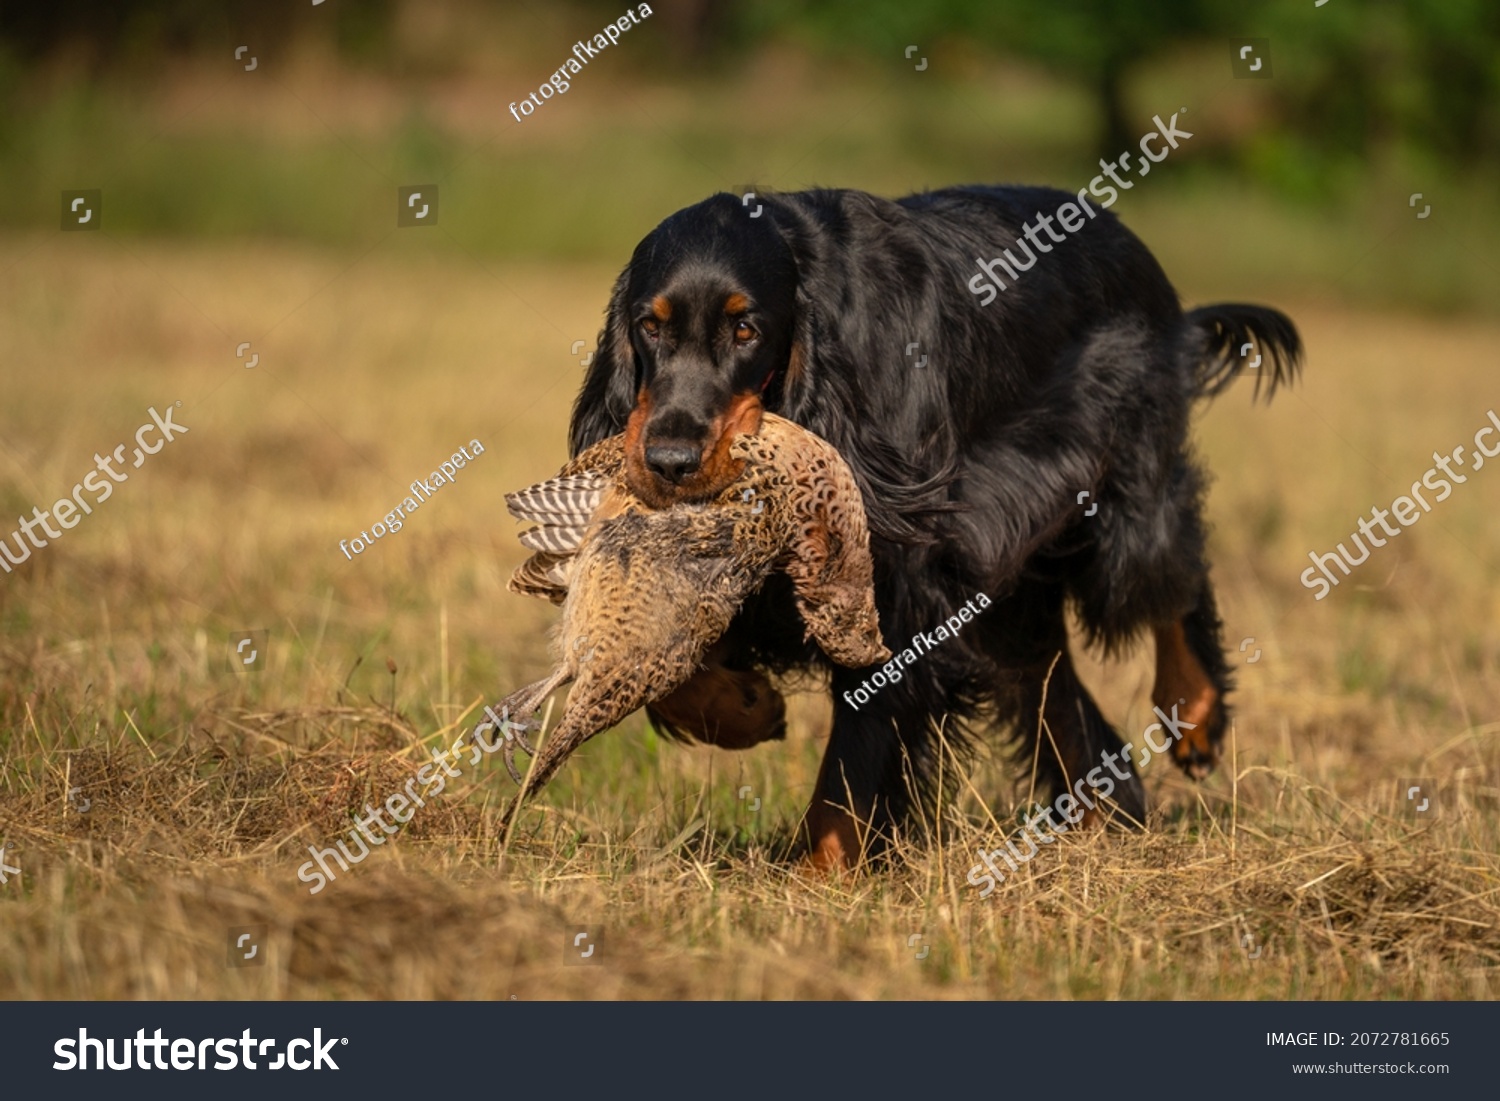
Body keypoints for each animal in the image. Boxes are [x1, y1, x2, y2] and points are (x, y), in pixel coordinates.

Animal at [567, 183, 1296, 870]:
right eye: (649, 326)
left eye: (746, 330)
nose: (669, 462)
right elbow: (676, 677)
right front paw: (747, 706)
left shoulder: (903, 585)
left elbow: (855, 756)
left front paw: (821, 878)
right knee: (1057, 690)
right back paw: (1101, 820)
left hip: (1121, 501)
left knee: (1174, 569)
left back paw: (1194, 711)